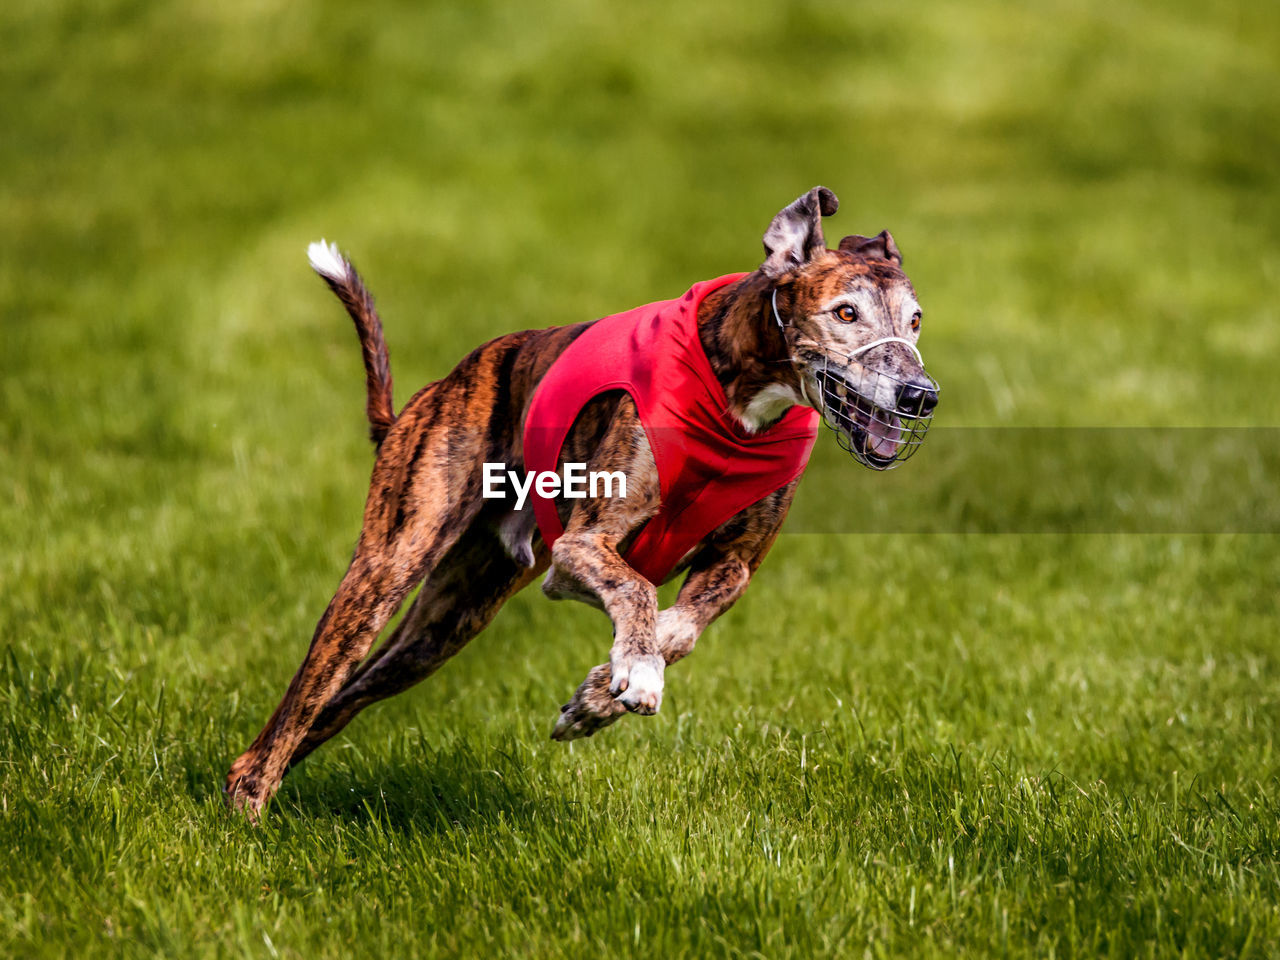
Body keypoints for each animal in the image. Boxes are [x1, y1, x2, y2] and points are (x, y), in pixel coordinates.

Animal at [222, 185, 942, 819]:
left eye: (915, 321)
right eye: (845, 313)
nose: (921, 395)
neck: (738, 398)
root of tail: (423, 401)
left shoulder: (731, 567)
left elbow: (679, 629)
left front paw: (598, 696)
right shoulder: (581, 548)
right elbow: (639, 593)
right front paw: (634, 675)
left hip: (448, 622)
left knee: (334, 702)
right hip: (387, 567)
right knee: (302, 699)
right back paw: (247, 809)